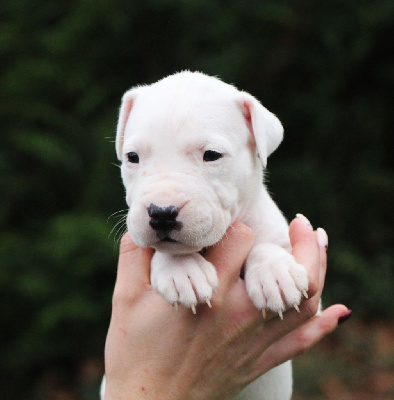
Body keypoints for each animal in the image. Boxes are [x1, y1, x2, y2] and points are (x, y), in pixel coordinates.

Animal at [110, 72, 308, 400]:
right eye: (132, 157)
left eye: (212, 155)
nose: (161, 213)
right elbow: (164, 252)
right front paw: (182, 270)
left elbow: (267, 245)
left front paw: (276, 273)